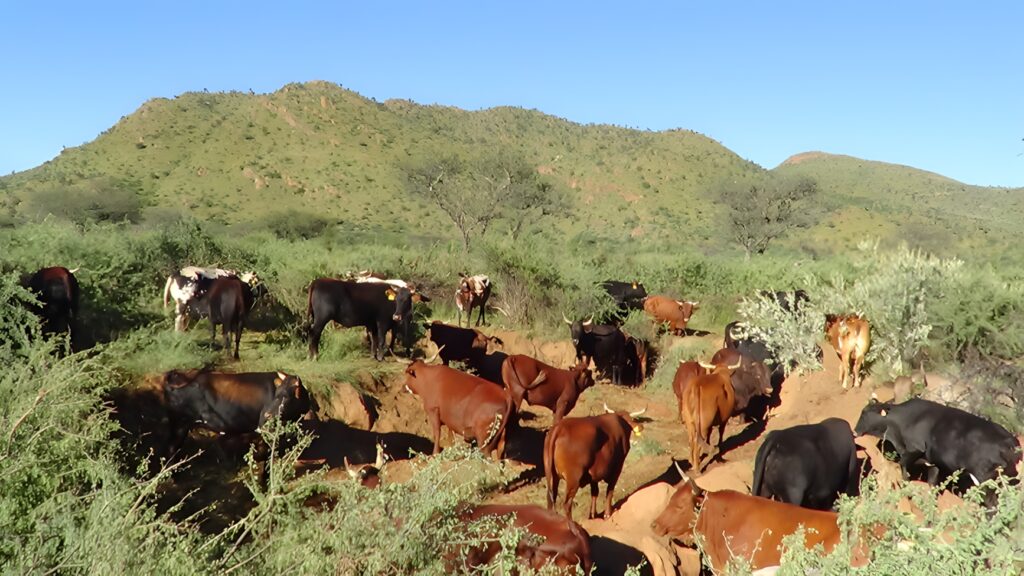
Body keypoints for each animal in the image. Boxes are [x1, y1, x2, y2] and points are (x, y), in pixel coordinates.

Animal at [854, 397, 1021, 495]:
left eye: (865, 413)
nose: (855, 431)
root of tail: (1010, 441)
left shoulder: (915, 448)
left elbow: (903, 466)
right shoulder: (934, 464)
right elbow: (932, 484)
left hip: (985, 478)